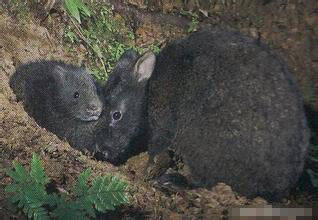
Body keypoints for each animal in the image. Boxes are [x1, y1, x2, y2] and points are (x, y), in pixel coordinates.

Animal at [95, 28, 308, 200]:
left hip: (202, 147)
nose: (101, 151)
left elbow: (155, 150)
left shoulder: (163, 124)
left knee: (208, 183)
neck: (149, 88)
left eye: (116, 115)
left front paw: (147, 172)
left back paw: (173, 181)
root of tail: (280, 187)